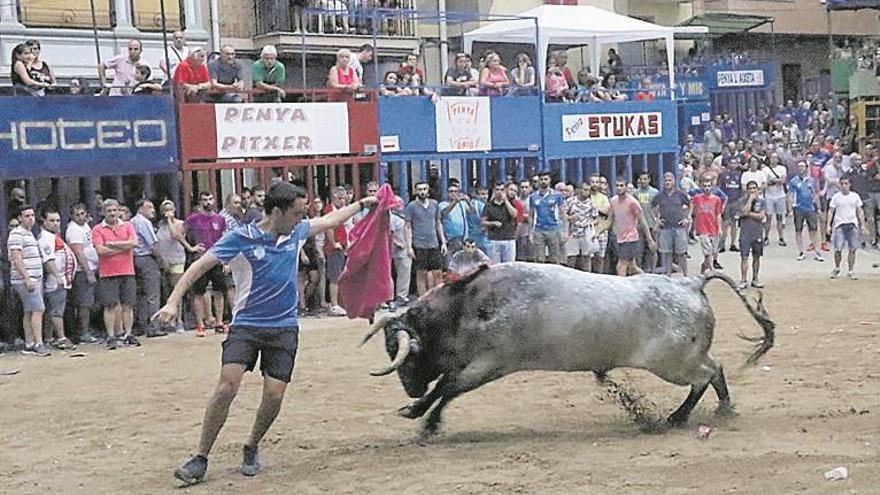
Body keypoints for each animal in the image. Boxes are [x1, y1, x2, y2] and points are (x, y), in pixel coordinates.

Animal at [360, 262, 772, 436]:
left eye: (401, 351)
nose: (409, 387)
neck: (468, 306)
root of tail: (690, 283)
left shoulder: (489, 364)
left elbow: (447, 389)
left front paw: (423, 418)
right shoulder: (475, 363)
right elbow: (445, 385)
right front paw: (417, 410)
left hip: (674, 364)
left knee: (708, 374)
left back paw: (690, 415)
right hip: (684, 358)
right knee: (715, 368)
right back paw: (708, 411)